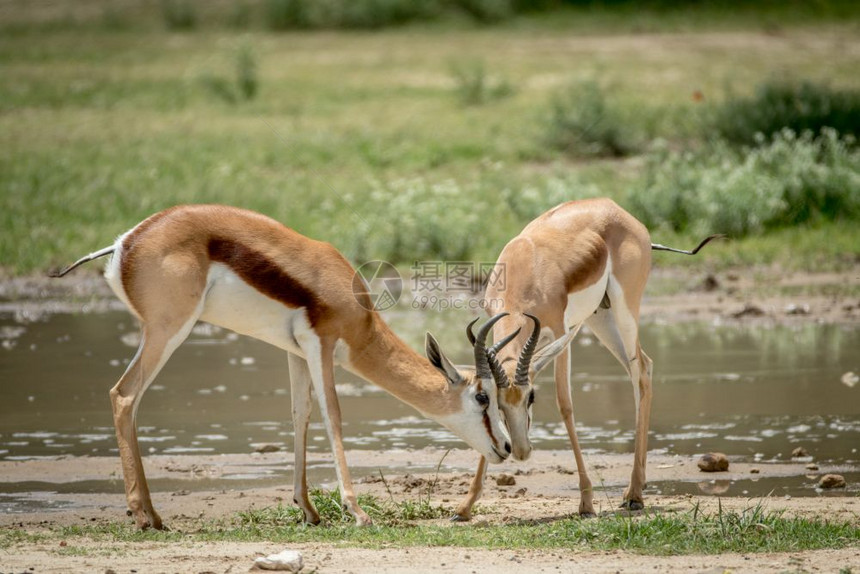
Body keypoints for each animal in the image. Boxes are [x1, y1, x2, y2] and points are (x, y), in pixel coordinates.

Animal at [52, 205, 516, 532]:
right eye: (482, 396)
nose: (506, 448)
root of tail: (125, 242)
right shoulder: (322, 345)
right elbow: (333, 416)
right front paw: (357, 512)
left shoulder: (295, 352)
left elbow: (300, 415)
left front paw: (308, 510)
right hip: (168, 331)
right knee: (124, 395)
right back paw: (142, 515)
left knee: (128, 400)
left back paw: (155, 514)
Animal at [454, 198, 724, 520]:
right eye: (496, 404)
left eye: (532, 397)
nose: (520, 452)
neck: (526, 265)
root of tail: (617, 209)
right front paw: (465, 505)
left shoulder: (562, 332)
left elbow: (565, 405)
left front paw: (586, 502)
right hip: (600, 317)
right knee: (643, 365)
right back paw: (636, 488)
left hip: (624, 309)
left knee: (640, 371)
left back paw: (635, 495)